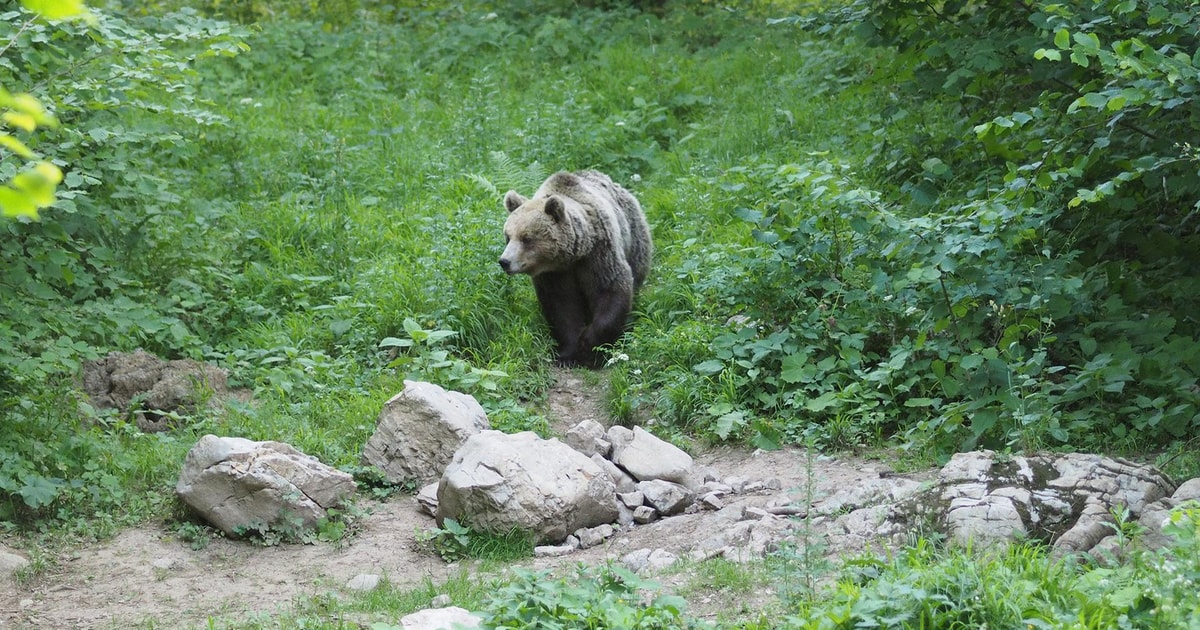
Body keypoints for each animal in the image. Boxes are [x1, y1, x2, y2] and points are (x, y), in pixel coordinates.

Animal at [499, 170, 657, 369]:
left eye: (527, 238)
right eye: (507, 236)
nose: (504, 261)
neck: (572, 257)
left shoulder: (599, 255)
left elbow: (611, 290)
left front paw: (590, 347)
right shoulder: (554, 275)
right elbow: (562, 307)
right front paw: (568, 354)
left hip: (635, 239)